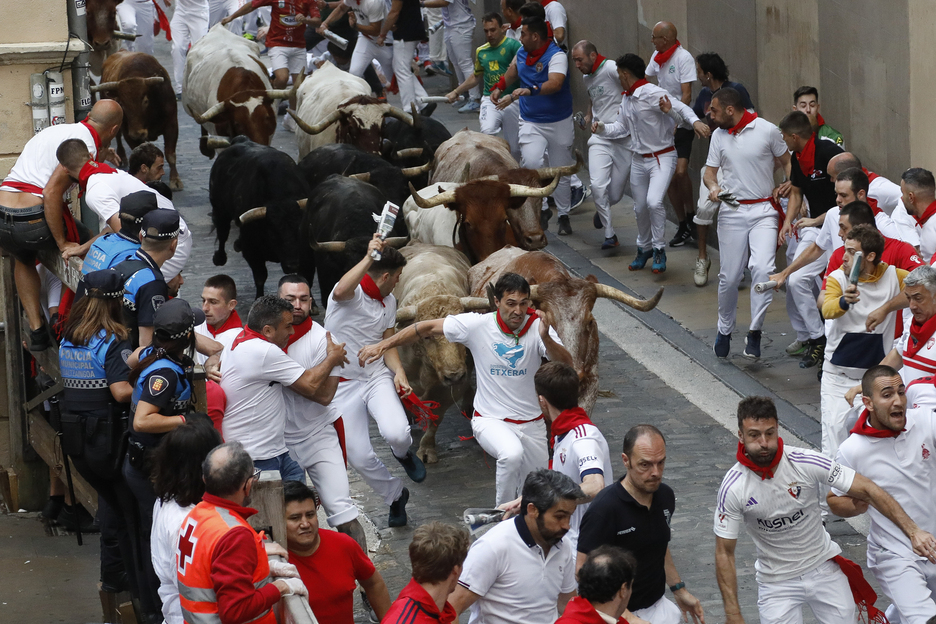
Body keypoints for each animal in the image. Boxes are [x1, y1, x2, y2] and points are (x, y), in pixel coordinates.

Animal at [94, 51, 182, 190]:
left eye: (145, 100)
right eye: (122, 103)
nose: (137, 133)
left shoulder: (172, 124)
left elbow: (170, 154)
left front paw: (175, 180)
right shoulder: (128, 132)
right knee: (117, 137)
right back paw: (122, 157)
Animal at [208, 137, 310, 302]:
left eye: (299, 229)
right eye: (273, 232)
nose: (293, 265)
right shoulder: (252, 251)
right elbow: (261, 276)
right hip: (219, 208)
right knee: (222, 232)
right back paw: (220, 257)